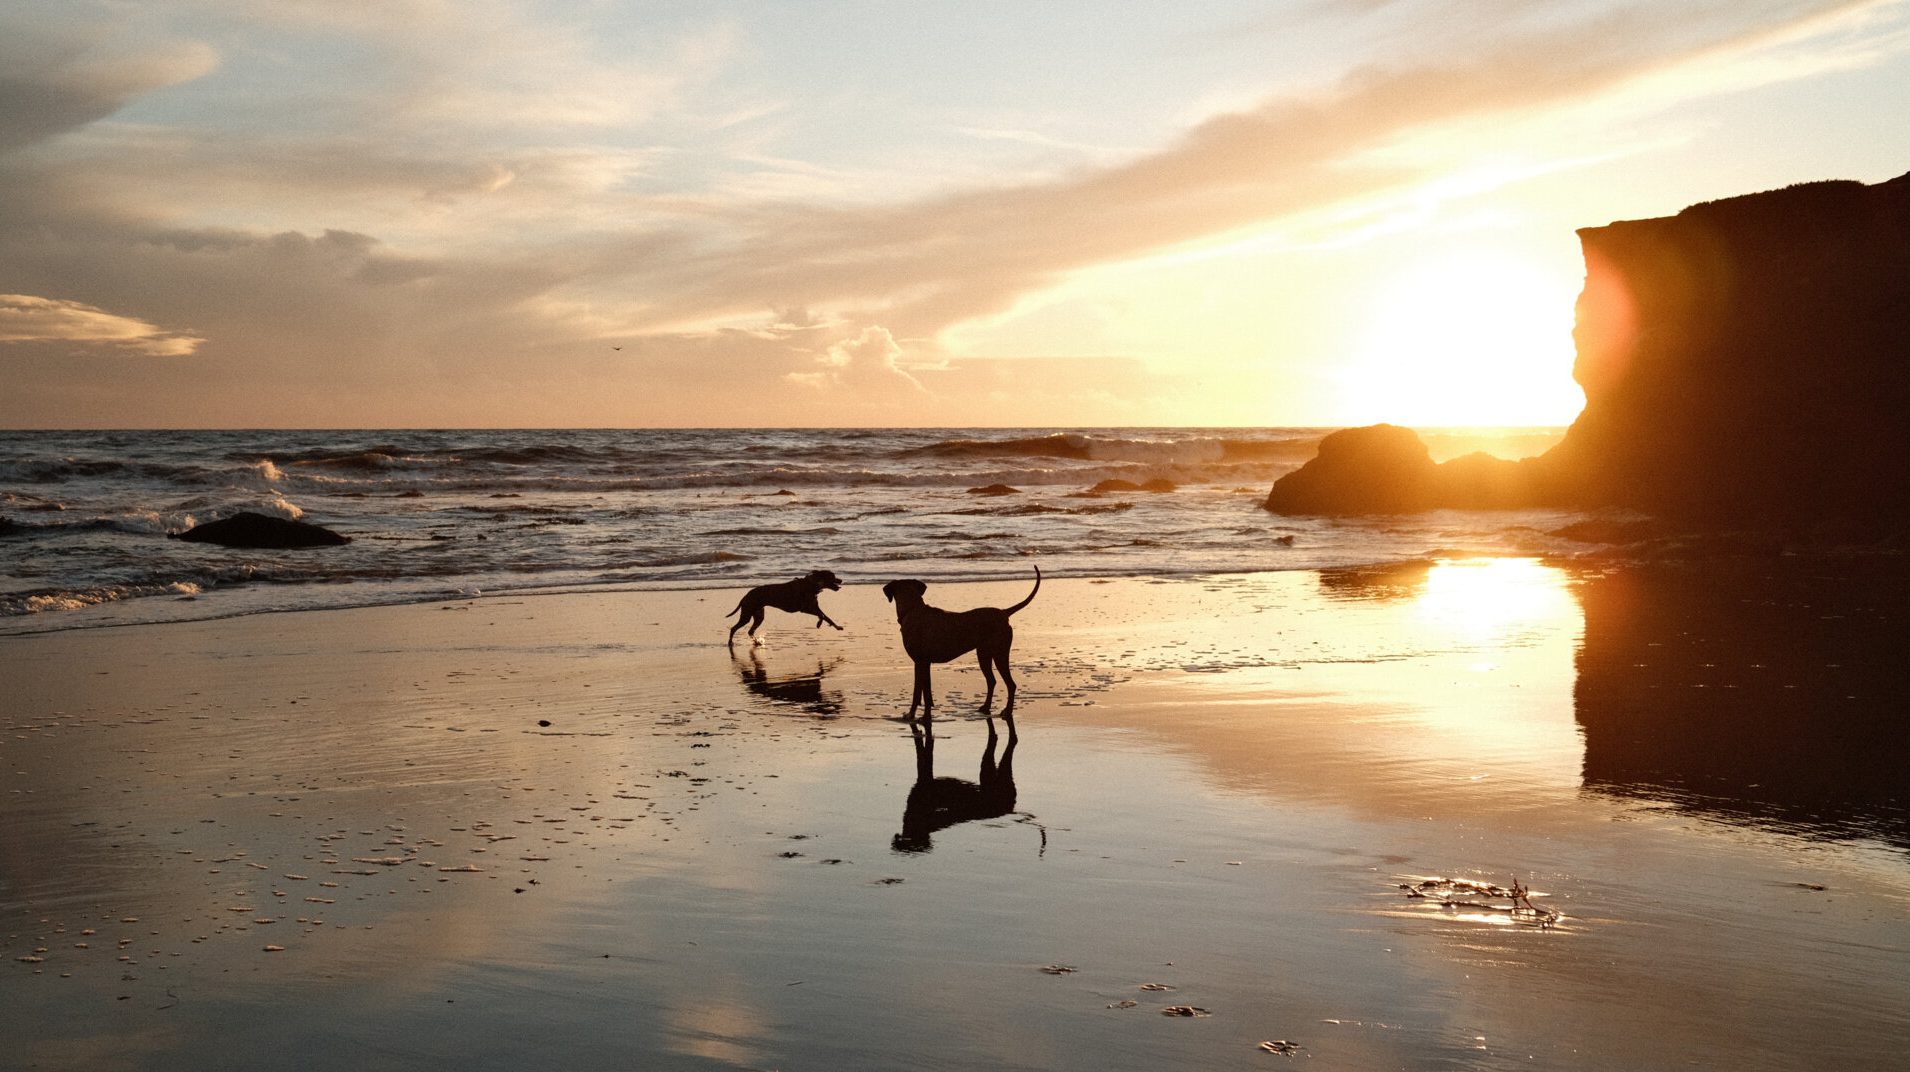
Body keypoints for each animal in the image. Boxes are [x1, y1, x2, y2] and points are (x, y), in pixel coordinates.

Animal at [882, 561, 1046, 718]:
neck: (913, 610)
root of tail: (1003, 613)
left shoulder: (921, 662)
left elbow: (921, 693)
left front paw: (916, 715)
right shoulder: (923, 663)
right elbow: (922, 692)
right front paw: (920, 714)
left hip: (1000, 653)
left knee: (1010, 684)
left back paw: (1007, 711)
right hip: (984, 654)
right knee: (992, 681)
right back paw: (985, 707)